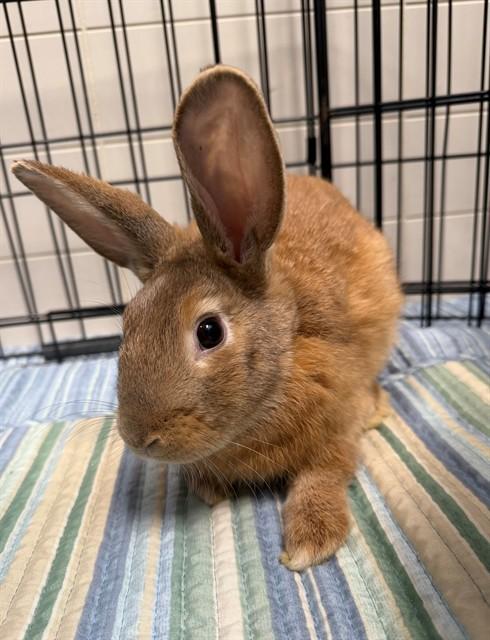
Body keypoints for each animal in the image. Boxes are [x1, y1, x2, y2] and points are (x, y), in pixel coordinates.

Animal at [11, 64, 402, 571]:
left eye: (209, 331)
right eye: (128, 323)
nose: (139, 438)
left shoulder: (337, 428)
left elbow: (326, 473)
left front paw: (308, 541)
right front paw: (210, 489)